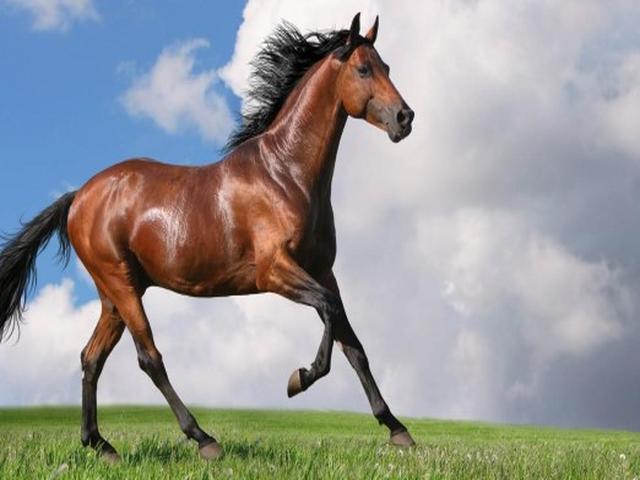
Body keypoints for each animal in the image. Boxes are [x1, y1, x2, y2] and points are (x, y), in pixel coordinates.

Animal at [0, 13, 415, 461]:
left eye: (387, 66)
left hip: (114, 296)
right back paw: (203, 439)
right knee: (149, 358)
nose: (405, 118)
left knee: (91, 358)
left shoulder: (324, 272)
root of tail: (79, 196)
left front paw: (397, 429)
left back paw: (101, 444)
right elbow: (327, 313)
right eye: (363, 69)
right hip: (121, 285)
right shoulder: (275, 271)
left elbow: (352, 343)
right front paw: (298, 379)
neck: (285, 174)